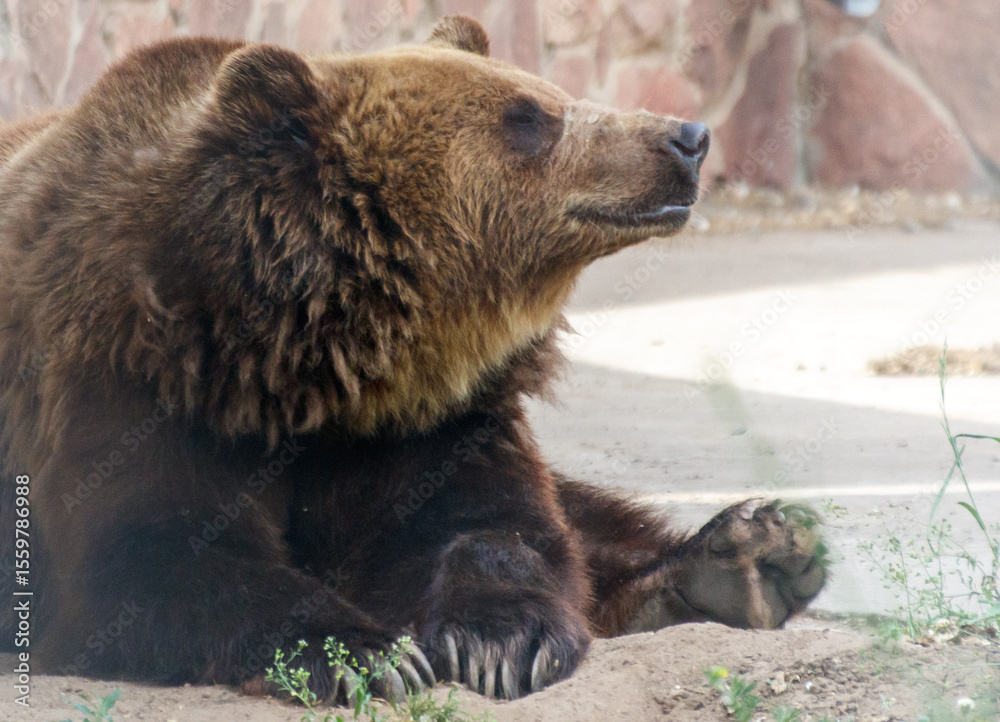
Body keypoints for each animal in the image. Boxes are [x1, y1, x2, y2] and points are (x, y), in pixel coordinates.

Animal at [0, 15, 826, 703]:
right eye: (532, 119)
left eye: (549, 94)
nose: (687, 137)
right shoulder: (131, 384)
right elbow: (153, 558)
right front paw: (365, 654)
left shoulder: (437, 416)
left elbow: (495, 525)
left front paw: (502, 639)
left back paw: (756, 554)